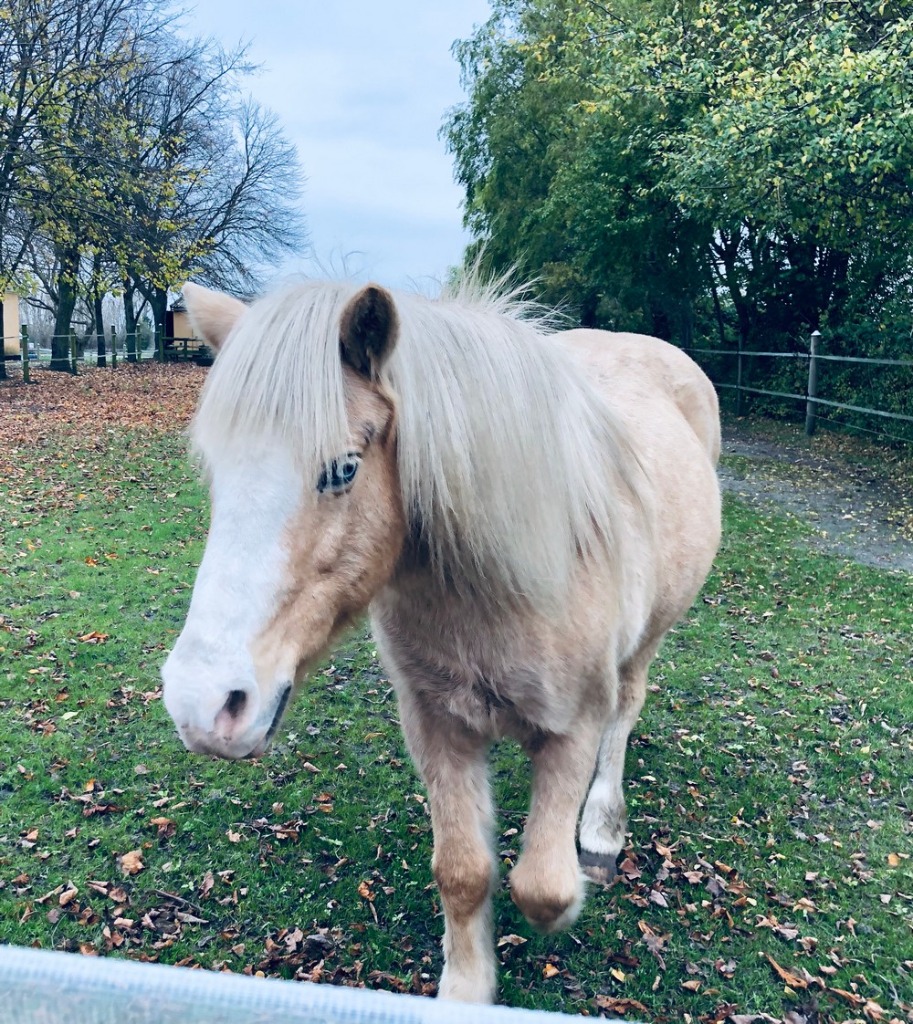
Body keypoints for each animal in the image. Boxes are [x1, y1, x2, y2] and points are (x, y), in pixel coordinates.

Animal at [162, 276, 720, 1003]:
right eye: (216, 470)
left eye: (343, 469)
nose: (202, 705)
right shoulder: (435, 725)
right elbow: (462, 871)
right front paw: (466, 987)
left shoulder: (575, 726)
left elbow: (542, 886)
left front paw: (569, 887)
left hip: (646, 641)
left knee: (626, 713)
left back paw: (600, 831)